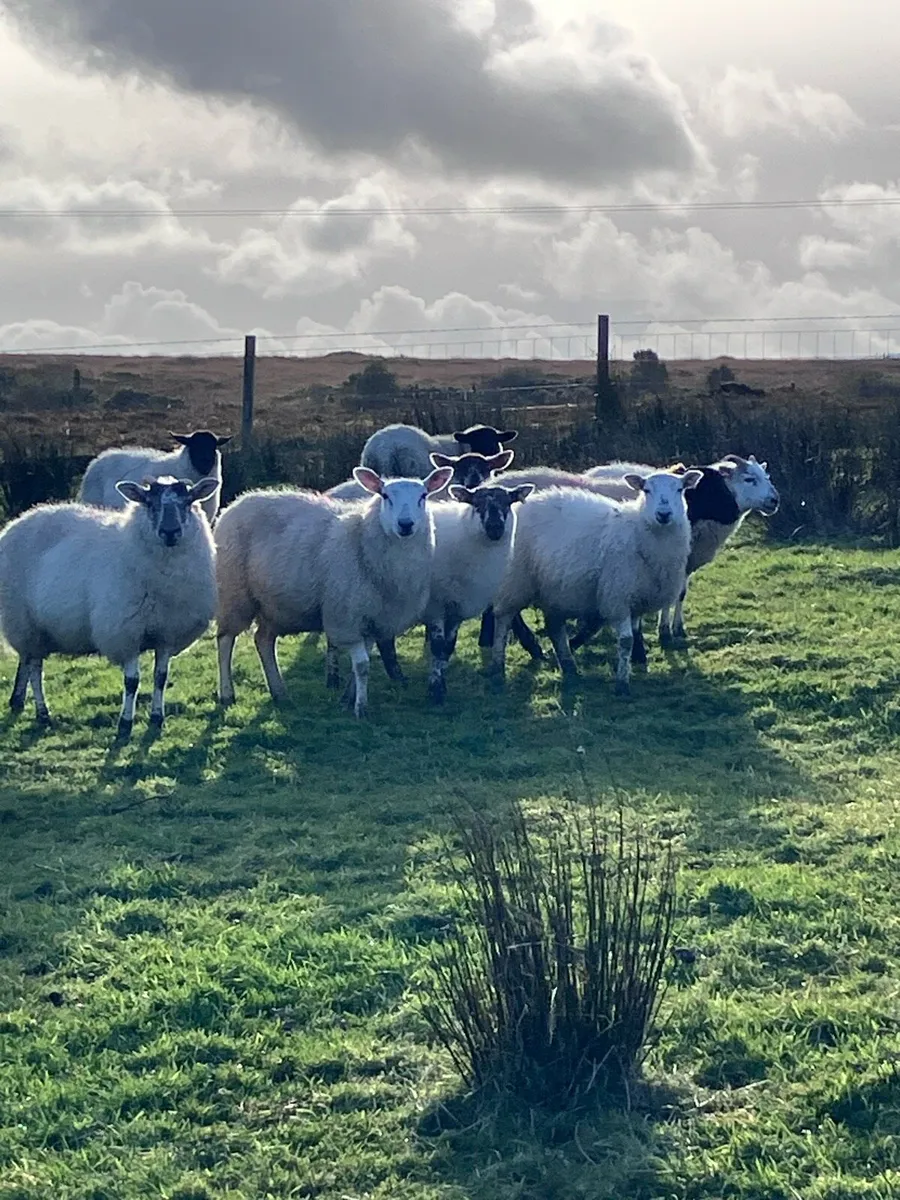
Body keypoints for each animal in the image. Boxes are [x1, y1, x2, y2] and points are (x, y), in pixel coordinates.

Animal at [0, 475, 220, 737]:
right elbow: (132, 682)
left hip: (37, 632)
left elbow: (161, 677)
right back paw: (43, 714)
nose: (170, 532)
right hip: (26, 626)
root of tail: (17, 521)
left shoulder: (167, 633)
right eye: (150, 503)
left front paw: (157, 718)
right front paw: (125, 724)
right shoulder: (126, 634)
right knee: (35, 669)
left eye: (188, 501)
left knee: (29, 664)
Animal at [214, 464, 454, 717]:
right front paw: (360, 707)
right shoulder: (346, 618)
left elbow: (361, 664)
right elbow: (363, 665)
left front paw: (348, 698)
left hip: (274, 605)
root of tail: (238, 501)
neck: (362, 537)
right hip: (234, 594)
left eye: (423, 496)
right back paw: (227, 693)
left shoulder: (373, 619)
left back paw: (279, 693)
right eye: (385, 496)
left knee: (263, 640)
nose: (405, 524)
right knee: (225, 640)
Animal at [489, 469, 703, 694]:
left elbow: (634, 633)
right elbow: (626, 640)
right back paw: (497, 666)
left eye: (680, 489)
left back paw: (569, 666)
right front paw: (622, 683)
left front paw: (636, 662)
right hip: (516, 581)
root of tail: (521, 506)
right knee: (503, 619)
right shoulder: (617, 595)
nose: (663, 514)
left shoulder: (636, 598)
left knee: (555, 627)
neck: (638, 531)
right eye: (646, 490)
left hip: (553, 589)